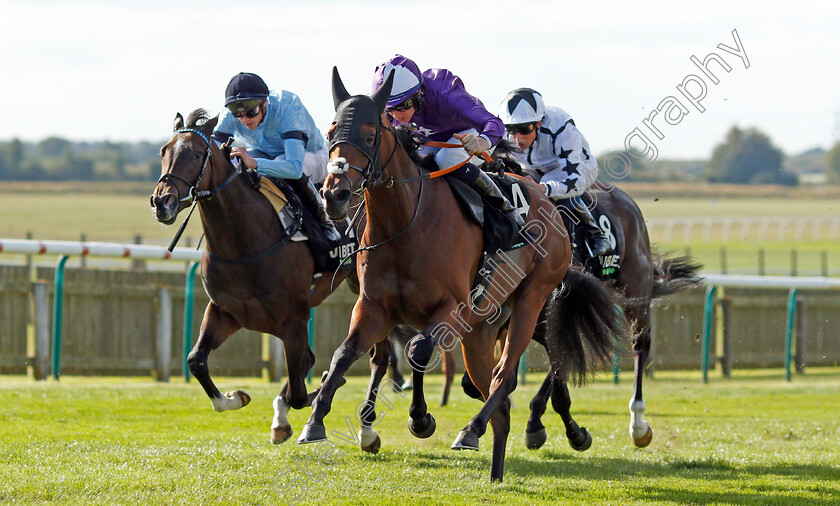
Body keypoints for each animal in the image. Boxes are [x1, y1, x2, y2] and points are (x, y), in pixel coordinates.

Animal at [151, 109, 352, 442]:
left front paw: (323, 385)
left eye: (196, 154)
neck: (244, 243)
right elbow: (196, 360)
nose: (161, 202)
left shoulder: (294, 318)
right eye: (163, 151)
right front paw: (235, 398)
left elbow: (301, 391)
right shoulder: (227, 312)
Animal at [298, 68, 620, 482]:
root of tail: (548, 202)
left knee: (505, 377)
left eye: (370, 134)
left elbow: (418, 351)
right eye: (330, 132)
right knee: (499, 400)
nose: (334, 195)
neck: (405, 221)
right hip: (482, 326)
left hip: (531, 300)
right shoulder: (373, 308)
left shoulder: (451, 308)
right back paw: (495, 471)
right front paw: (314, 420)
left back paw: (472, 429)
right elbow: (343, 355)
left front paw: (421, 420)